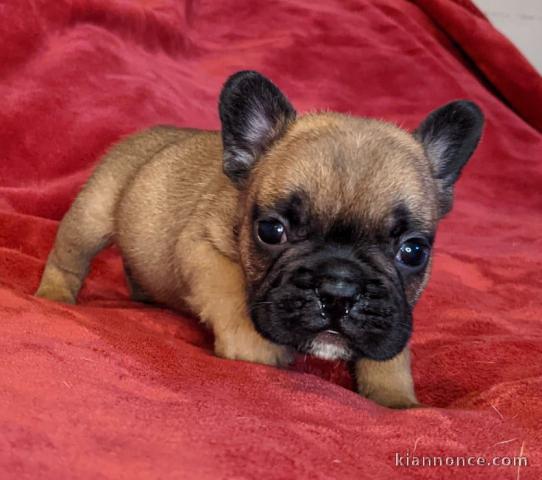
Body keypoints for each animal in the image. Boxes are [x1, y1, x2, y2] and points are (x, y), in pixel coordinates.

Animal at [36, 70, 486, 408]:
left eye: (413, 251)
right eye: (271, 230)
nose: (339, 288)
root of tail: (150, 133)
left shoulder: (393, 312)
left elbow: (392, 343)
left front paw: (397, 398)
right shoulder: (203, 246)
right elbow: (232, 292)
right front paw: (258, 349)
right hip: (92, 214)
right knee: (67, 260)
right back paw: (54, 297)